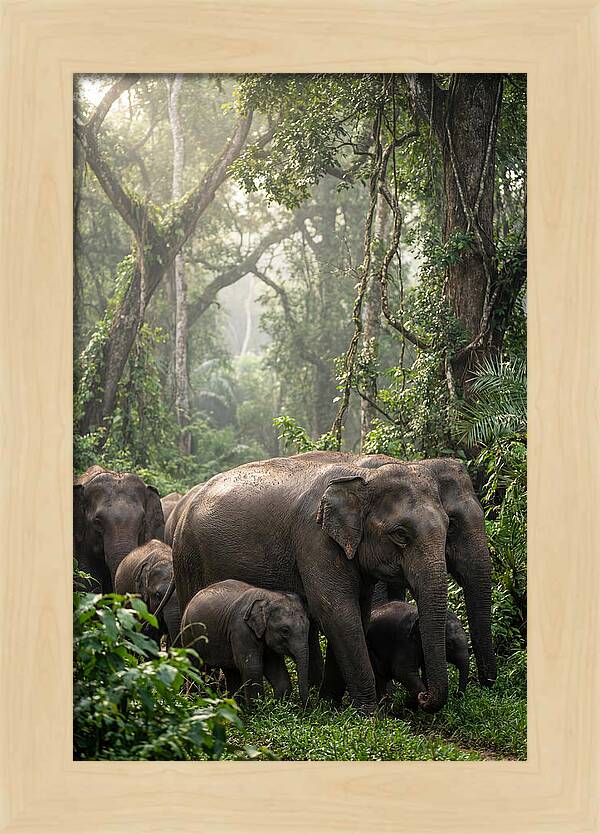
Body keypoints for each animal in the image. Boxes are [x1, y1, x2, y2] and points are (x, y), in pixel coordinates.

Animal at [180, 579, 310, 706]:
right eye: (285, 631)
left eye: (308, 626)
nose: (305, 707)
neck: (268, 597)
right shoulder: (241, 629)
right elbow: (251, 667)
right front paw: (258, 709)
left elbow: (276, 669)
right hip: (189, 635)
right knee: (196, 669)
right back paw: (194, 702)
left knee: (231, 672)